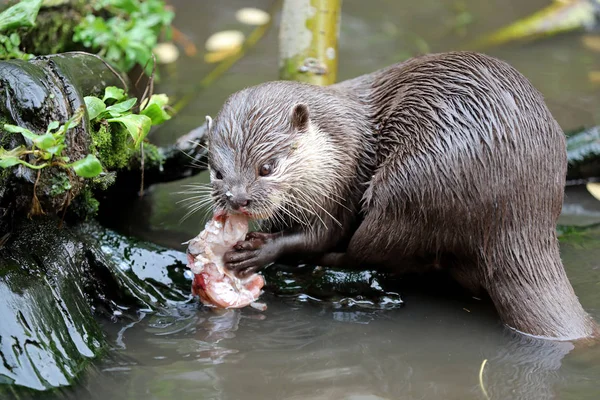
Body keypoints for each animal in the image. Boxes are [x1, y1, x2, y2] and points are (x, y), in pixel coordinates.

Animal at [205, 50, 596, 340]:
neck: (335, 142)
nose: (237, 198)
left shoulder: (340, 183)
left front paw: (260, 250)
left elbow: (318, 235)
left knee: (373, 252)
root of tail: (520, 216)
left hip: (410, 187)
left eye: (267, 166)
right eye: (216, 170)